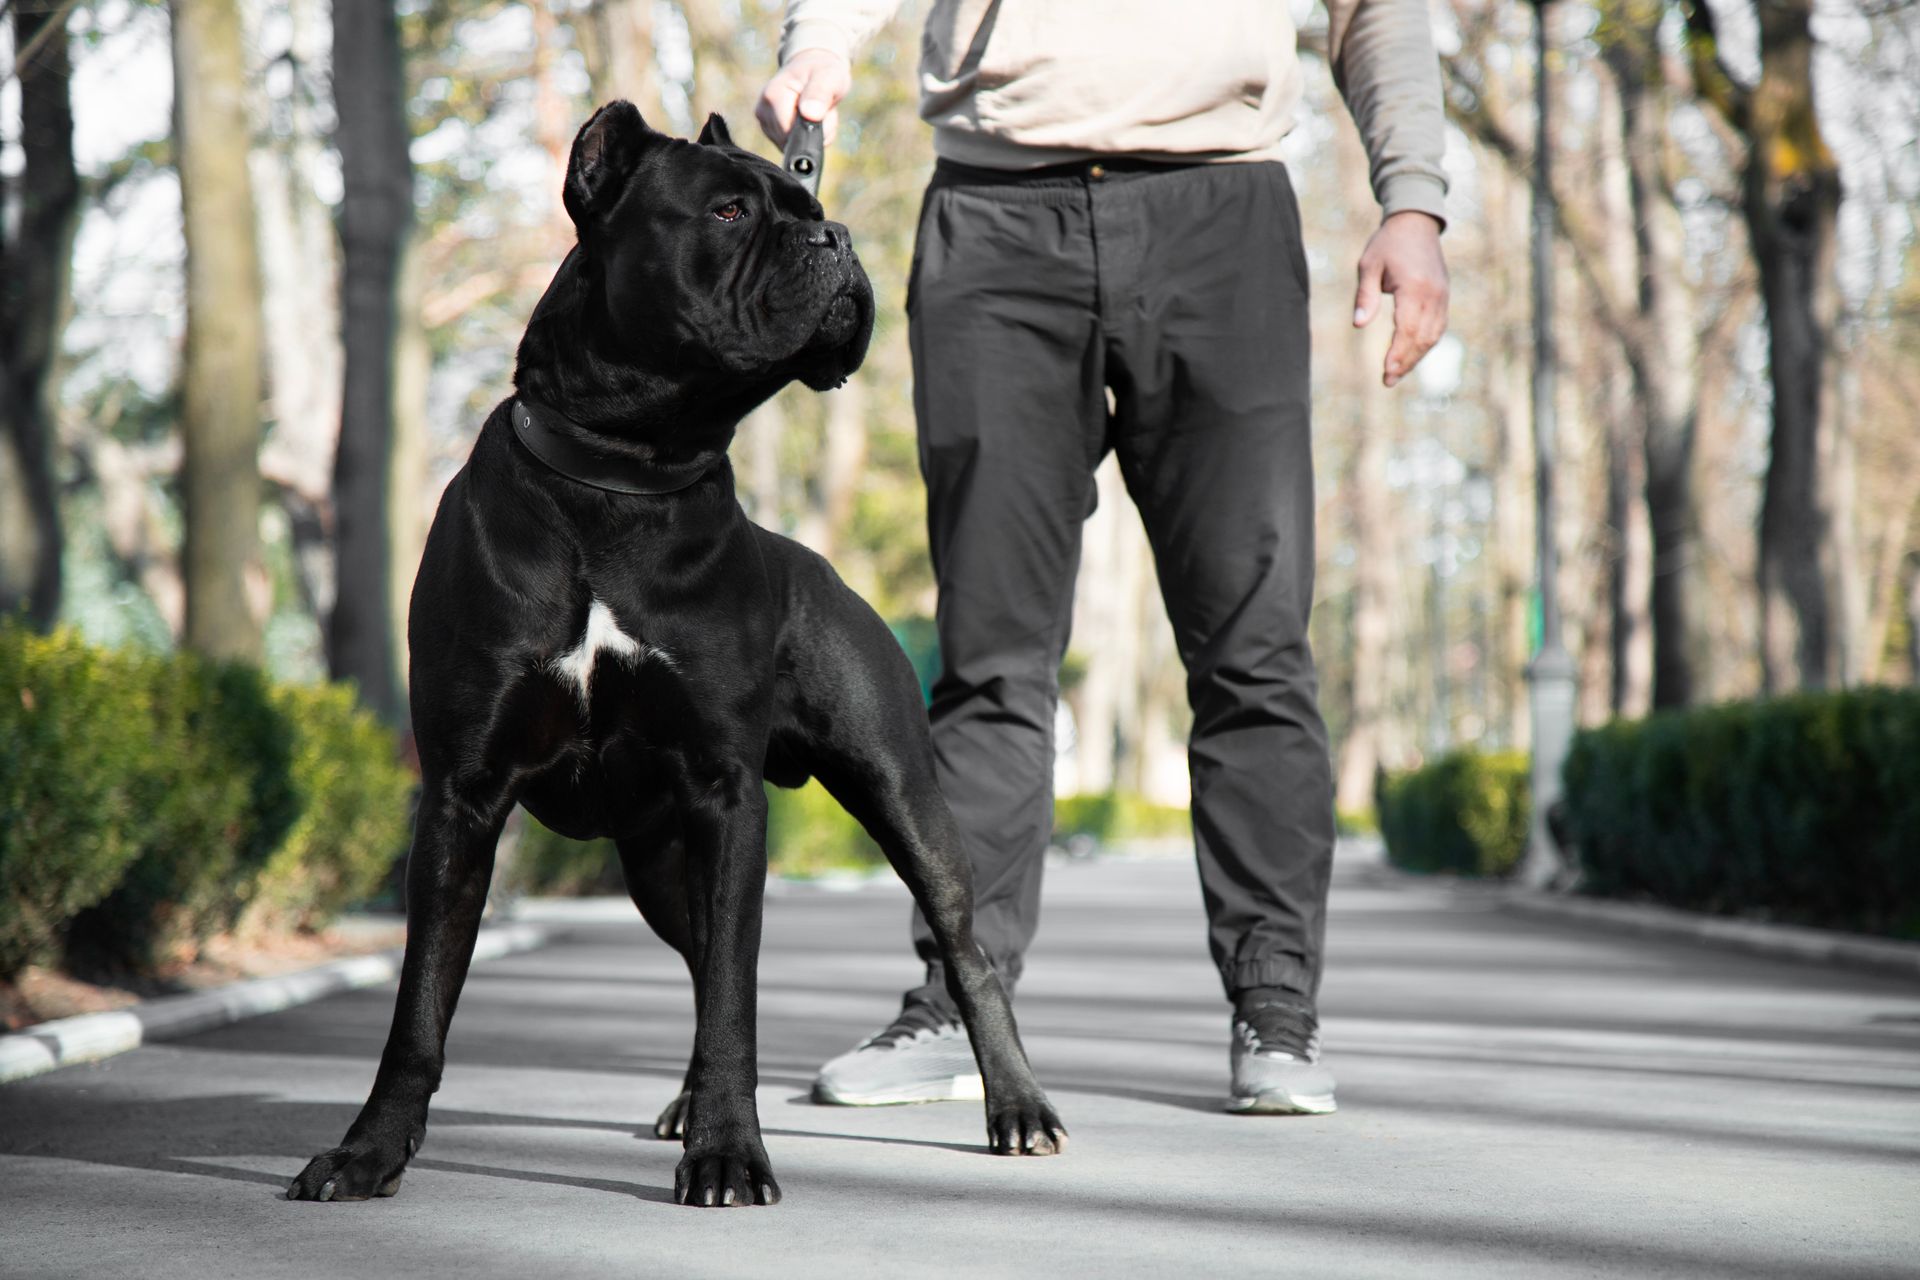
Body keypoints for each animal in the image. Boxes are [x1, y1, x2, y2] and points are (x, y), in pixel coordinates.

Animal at [284, 102, 1067, 1212]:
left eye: (811, 211)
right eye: (731, 210)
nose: (839, 241)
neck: (626, 470)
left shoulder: (725, 794)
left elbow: (736, 1001)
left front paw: (730, 1154)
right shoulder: (461, 797)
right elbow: (419, 1008)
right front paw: (369, 1151)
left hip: (899, 797)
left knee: (963, 949)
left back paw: (1019, 1107)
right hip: (661, 864)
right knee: (700, 962)